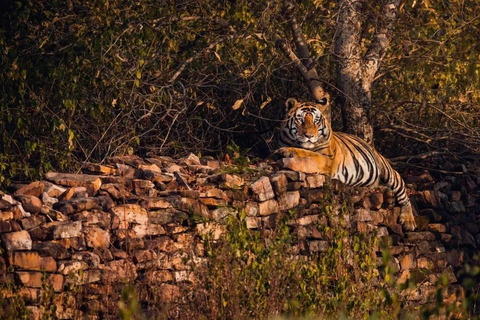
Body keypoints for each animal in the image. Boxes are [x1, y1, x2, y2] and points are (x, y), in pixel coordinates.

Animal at [274, 96, 416, 231]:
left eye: (316, 121)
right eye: (301, 120)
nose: (309, 136)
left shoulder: (326, 159)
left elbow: (307, 153)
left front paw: (287, 151)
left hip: (389, 172)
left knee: (403, 194)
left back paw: (408, 221)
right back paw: (387, 194)